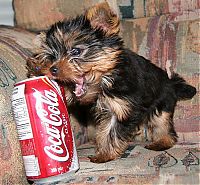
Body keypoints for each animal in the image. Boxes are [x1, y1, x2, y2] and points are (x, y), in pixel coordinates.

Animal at [26, 2, 195, 163]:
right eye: (52, 56)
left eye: (75, 51)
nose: (53, 69)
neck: (106, 79)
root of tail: (171, 83)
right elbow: (102, 129)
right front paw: (37, 69)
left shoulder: (122, 108)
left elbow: (112, 132)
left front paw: (105, 155)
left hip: (162, 103)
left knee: (163, 124)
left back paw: (162, 142)